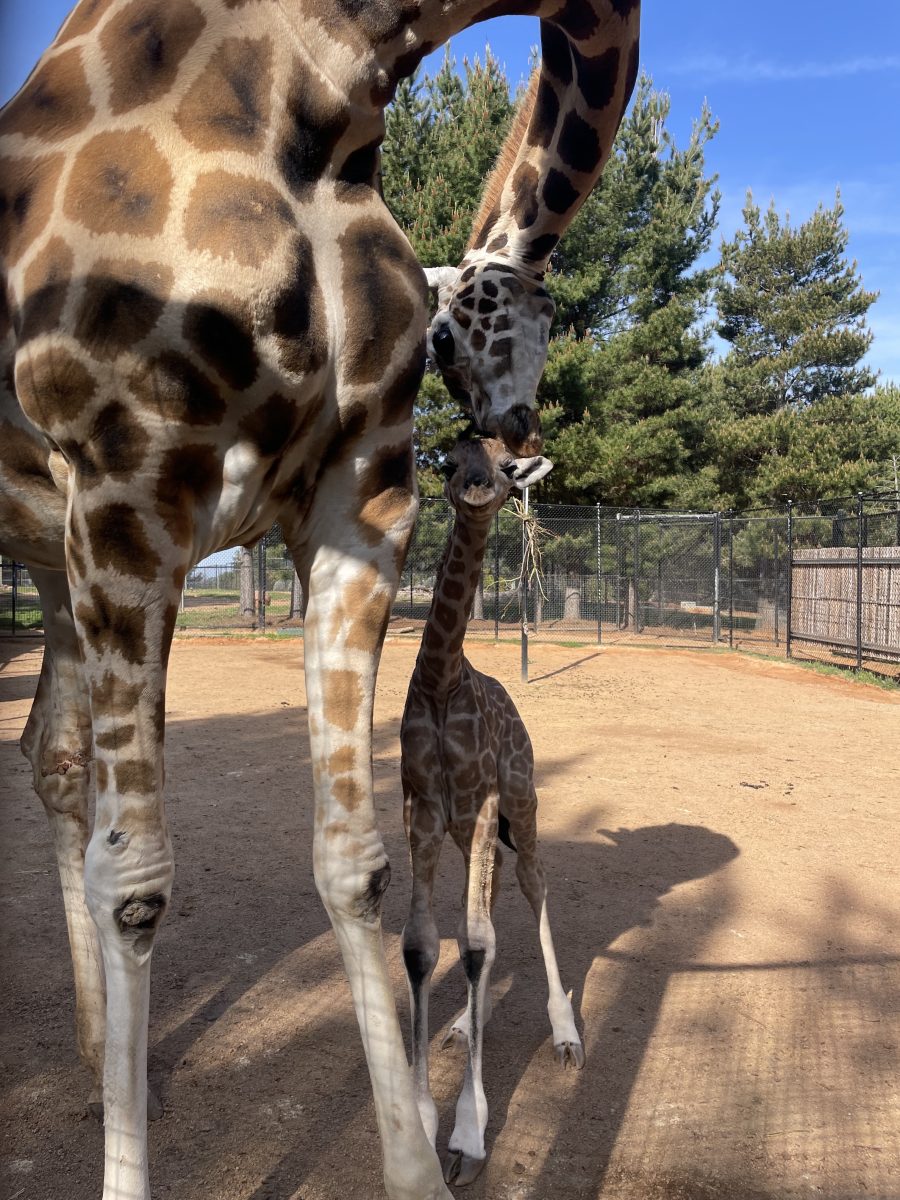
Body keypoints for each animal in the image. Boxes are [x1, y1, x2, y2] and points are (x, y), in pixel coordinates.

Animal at [0, 2, 643, 1200]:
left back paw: (101, 1052)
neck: (328, 80)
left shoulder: (355, 501)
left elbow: (355, 865)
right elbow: (137, 879)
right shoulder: (127, 477)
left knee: (51, 754)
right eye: (456, 326)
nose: (514, 433)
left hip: (53, 565)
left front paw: (423, 1162)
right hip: (76, 538)